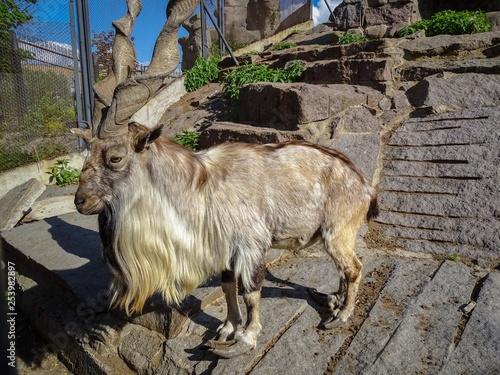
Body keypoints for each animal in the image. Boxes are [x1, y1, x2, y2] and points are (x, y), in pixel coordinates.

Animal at [71, 122, 378, 358]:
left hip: (338, 231)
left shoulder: (251, 246)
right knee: (344, 270)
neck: (201, 189)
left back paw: (341, 315)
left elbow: (251, 293)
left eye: (115, 158)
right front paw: (228, 327)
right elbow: (229, 287)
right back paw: (332, 300)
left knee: (354, 269)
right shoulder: (227, 252)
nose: (80, 201)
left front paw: (245, 338)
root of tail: (364, 186)